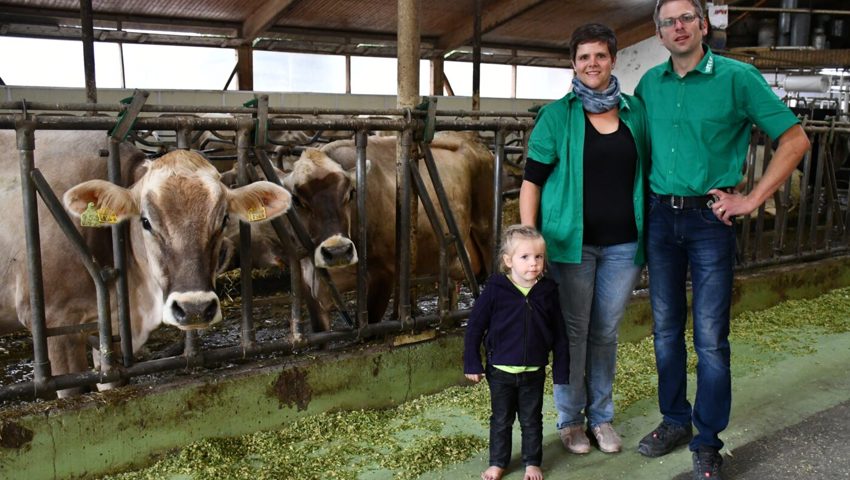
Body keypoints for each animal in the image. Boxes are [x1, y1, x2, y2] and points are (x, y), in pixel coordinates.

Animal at [282, 133, 494, 332]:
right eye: (296, 200)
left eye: (351, 193)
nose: (338, 251)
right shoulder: (310, 283)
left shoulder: (383, 274)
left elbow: (370, 323)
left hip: (486, 230)